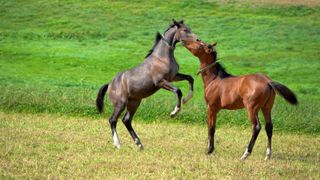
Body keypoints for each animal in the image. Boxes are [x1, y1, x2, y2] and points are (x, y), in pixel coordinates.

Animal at [95, 20, 298, 160]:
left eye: (191, 32)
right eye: (185, 30)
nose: (196, 40)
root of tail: (110, 82)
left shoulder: (176, 81)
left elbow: (189, 85)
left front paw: (181, 106)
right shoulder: (163, 82)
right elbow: (182, 92)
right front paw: (177, 110)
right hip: (123, 102)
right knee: (114, 120)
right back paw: (120, 144)